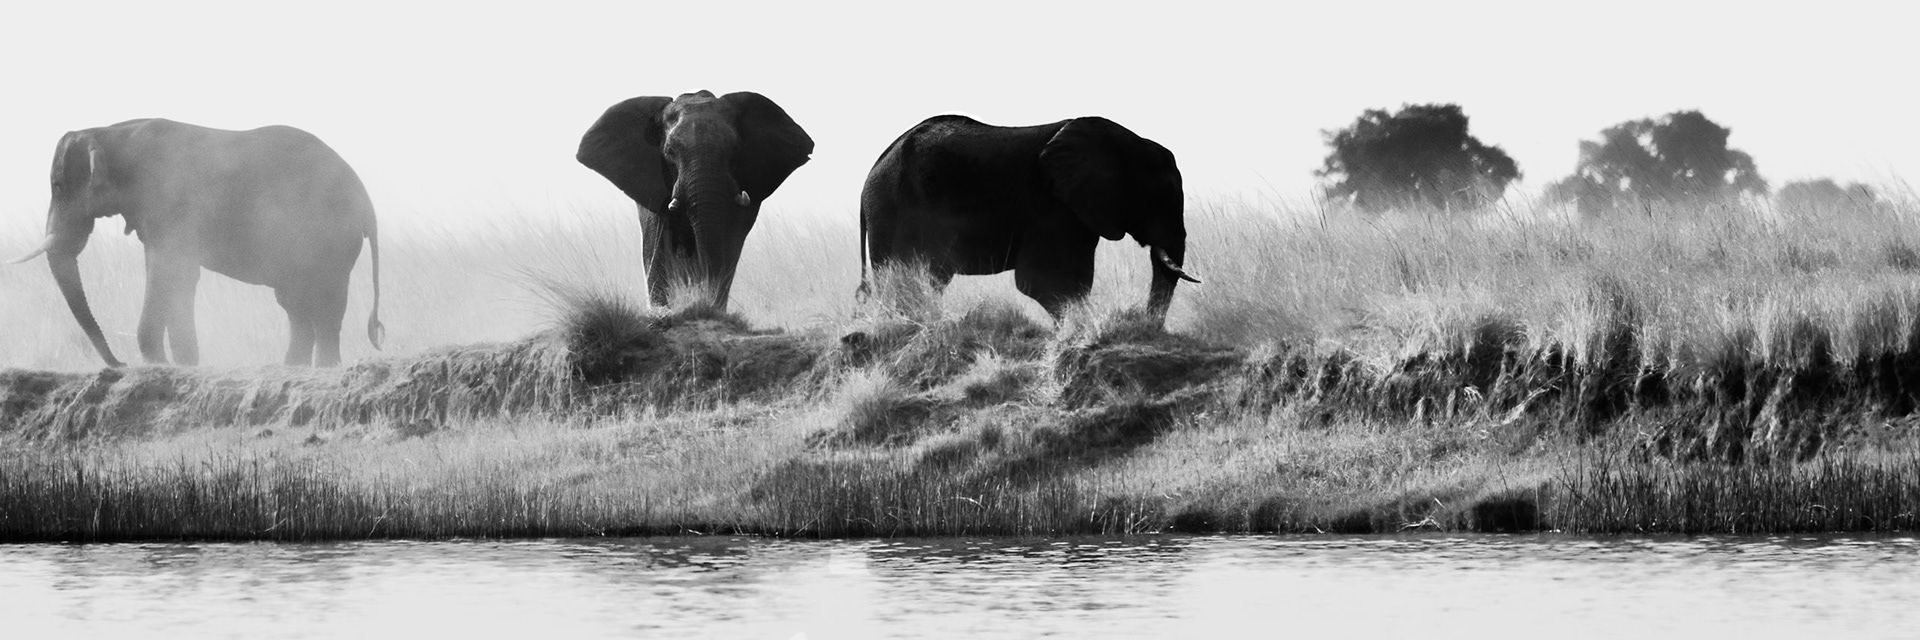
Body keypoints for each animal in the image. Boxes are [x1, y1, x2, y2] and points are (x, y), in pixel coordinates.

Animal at [11, 118, 384, 368]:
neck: (107, 132)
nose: (120, 365)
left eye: (58, 186)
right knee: (294, 303)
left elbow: (167, 271)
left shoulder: (170, 199)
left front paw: (161, 366)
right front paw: (181, 365)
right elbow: (175, 275)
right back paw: (292, 368)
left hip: (332, 237)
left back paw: (323, 369)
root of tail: (367, 200)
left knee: (324, 301)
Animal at [576, 90, 814, 308]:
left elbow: (729, 245)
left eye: (735, 149)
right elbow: (656, 244)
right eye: (670, 152)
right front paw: (663, 312)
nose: (703, 301)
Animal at [859, 114, 1199, 322]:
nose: (1149, 326)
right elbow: (1042, 281)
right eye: (1162, 196)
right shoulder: (1051, 205)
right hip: (890, 210)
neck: (1125, 141)